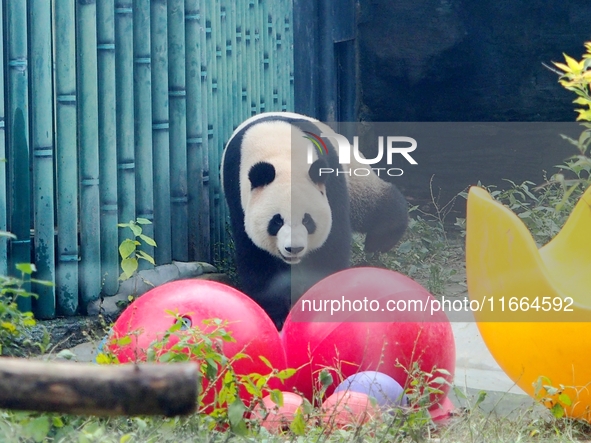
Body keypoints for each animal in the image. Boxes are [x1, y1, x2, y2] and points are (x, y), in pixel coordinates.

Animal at [220, 112, 410, 328]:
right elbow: (257, 256)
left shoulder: (330, 180)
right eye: (276, 221)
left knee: (374, 206)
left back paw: (380, 240)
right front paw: (276, 315)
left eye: (307, 221)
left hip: (353, 175)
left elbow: (330, 246)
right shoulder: (237, 192)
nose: (293, 248)